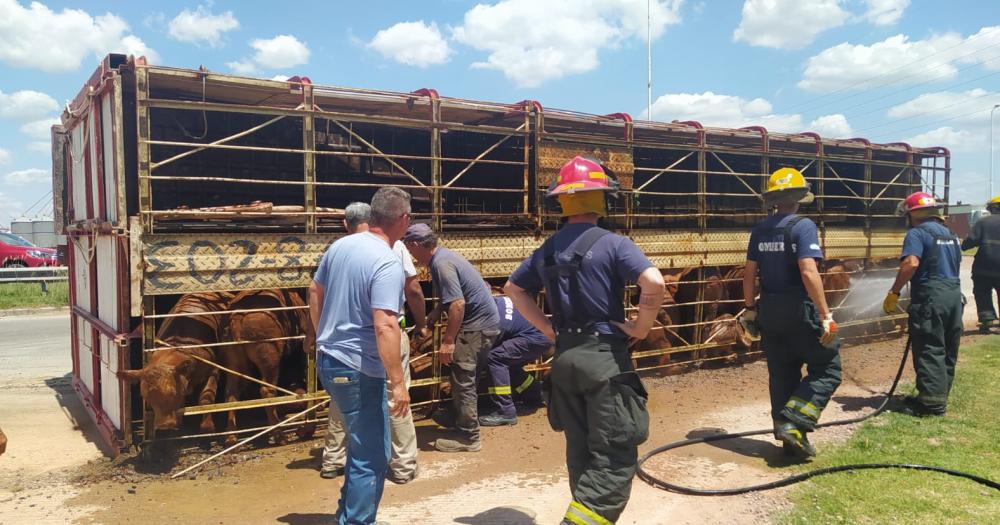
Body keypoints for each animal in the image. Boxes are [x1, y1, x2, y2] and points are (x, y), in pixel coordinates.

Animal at [119, 290, 234, 434]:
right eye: (145, 396)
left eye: (173, 392)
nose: (164, 426)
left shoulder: (213, 369)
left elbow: (206, 397)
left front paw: (207, 427)